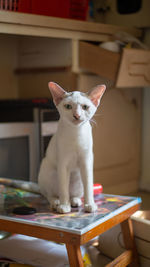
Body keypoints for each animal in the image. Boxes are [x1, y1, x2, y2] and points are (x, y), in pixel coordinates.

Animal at [37, 82, 105, 215]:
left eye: (85, 107)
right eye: (68, 106)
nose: (77, 115)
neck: (76, 133)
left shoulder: (86, 162)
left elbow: (88, 187)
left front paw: (90, 205)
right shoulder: (63, 164)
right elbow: (63, 189)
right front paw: (64, 206)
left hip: (78, 178)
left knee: (75, 193)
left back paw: (75, 201)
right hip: (49, 172)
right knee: (50, 195)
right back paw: (57, 203)